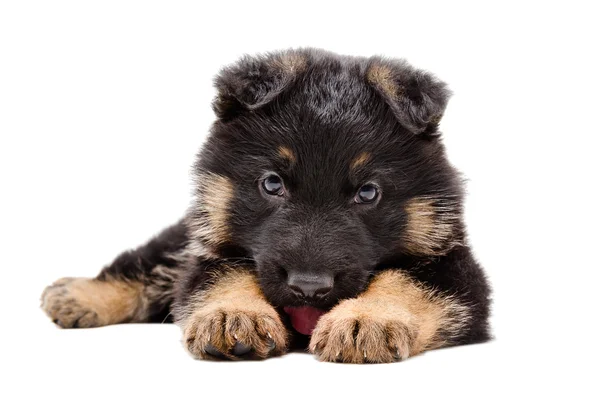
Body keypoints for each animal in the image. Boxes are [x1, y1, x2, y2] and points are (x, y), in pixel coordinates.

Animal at [39, 47, 490, 362]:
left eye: (368, 193)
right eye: (272, 184)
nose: (309, 287)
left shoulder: (459, 272)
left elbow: (405, 283)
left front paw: (367, 318)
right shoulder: (211, 253)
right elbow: (227, 273)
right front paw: (233, 315)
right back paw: (79, 295)